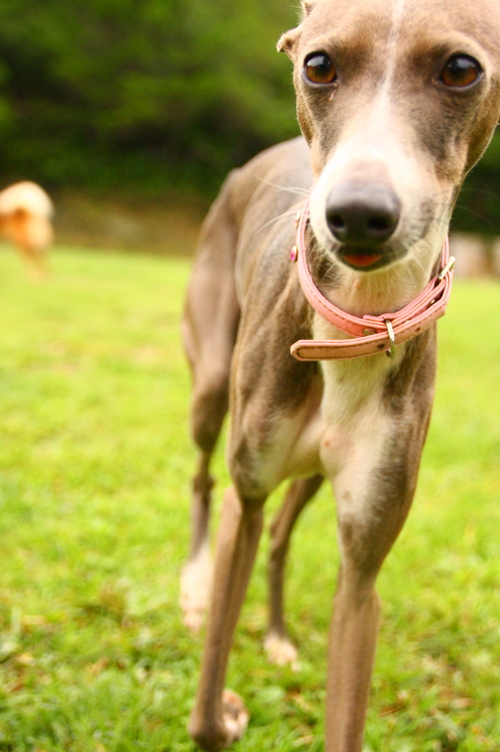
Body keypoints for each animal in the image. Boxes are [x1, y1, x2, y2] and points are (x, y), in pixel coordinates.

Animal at [182, 2, 500, 748]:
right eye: (318, 64)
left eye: (461, 68)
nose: (357, 213)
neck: (355, 323)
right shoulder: (248, 493)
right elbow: (207, 712)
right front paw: (226, 709)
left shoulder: (362, 575)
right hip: (212, 389)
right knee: (205, 477)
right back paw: (195, 586)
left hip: (317, 476)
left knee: (280, 539)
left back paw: (275, 636)